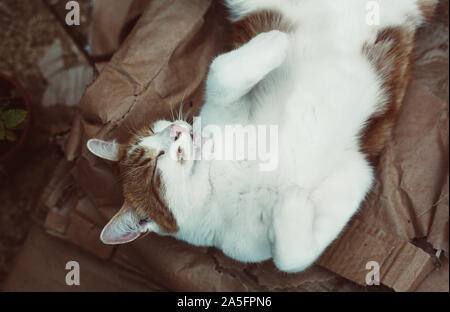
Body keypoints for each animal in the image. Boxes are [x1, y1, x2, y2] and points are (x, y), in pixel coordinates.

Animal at [87, 0, 436, 272]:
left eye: (157, 129)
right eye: (155, 164)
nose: (175, 130)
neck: (217, 176)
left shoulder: (225, 107)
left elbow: (220, 70)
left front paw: (275, 41)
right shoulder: (353, 173)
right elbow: (291, 259)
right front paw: (292, 206)